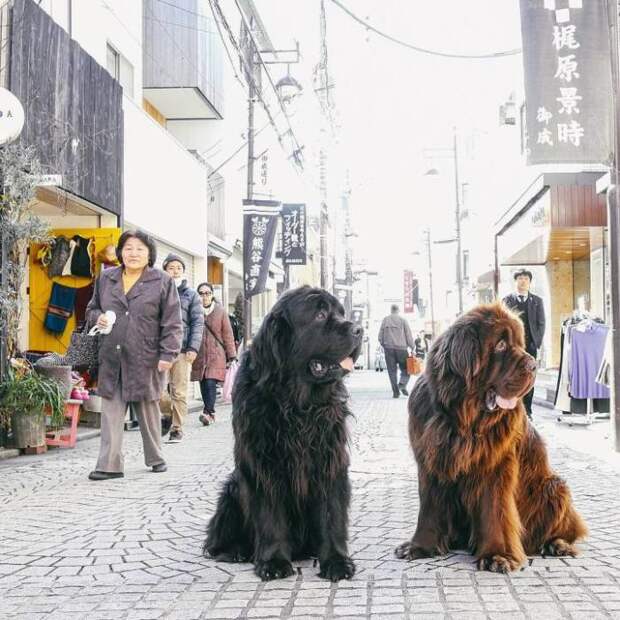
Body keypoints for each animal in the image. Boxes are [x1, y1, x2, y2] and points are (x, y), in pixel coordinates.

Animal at [203, 286, 364, 580]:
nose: (359, 329)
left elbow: (332, 514)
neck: (297, 404)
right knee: (214, 539)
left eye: (341, 312)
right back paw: (236, 550)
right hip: (231, 490)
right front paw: (273, 562)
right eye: (320, 314)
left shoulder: (330, 460)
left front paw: (336, 561)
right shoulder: (263, 464)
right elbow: (270, 515)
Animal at [398, 302, 588, 572]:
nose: (533, 365)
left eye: (520, 344)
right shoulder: (430, 462)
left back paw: (557, 545)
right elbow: (429, 508)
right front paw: (420, 546)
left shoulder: (494, 466)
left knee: (569, 528)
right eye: (500, 345)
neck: (463, 418)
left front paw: (497, 555)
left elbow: (494, 511)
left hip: (554, 487)